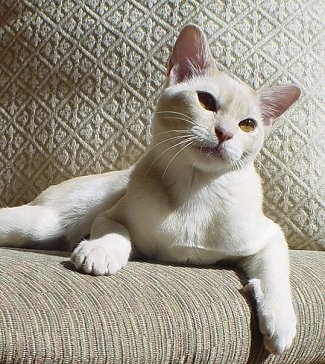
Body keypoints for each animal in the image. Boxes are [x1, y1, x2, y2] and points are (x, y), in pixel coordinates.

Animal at [0, 24, 298, 352]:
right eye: (206, 101)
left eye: (248, 125)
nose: (224, 134)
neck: (195, 188)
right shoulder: (110, 215)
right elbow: (117, 232)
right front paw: (100, 252)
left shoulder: (269, 235)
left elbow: (275, 276)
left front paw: (280, 324)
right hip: (40, 223)